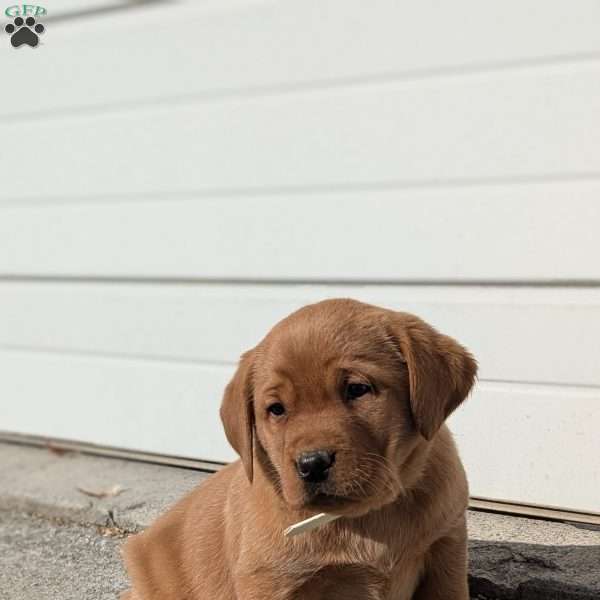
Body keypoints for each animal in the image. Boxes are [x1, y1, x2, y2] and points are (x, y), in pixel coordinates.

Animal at [122, 300, 478, 600]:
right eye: (277, 409)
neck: (366, 517)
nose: (312, 463)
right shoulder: (269, 582)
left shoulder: (446, 549)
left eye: (357, 389)